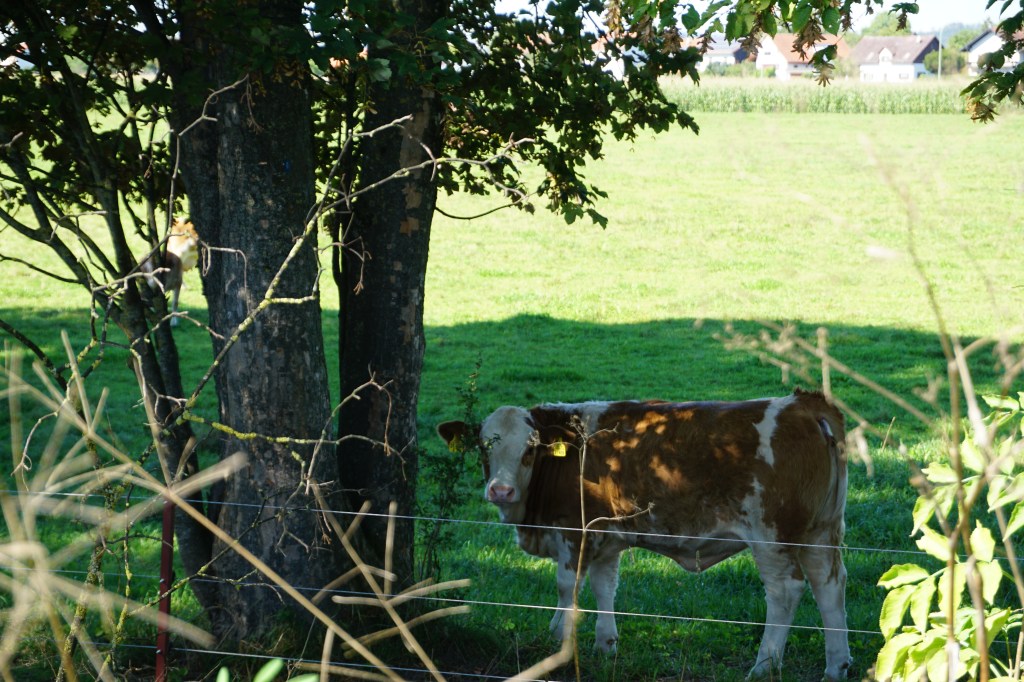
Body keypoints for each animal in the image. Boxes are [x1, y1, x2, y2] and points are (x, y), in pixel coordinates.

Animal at [437, 388, 851, 681]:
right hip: (821, 531)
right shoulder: (605, 536)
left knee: (785, 591)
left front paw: (560, 641)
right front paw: (605, 643)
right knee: (829, 587)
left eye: (530, 450)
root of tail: (804, 404)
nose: (500, 491)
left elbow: (567, 586)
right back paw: (836, 666)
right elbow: (604, 585)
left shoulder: (574, 531)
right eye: (483, 447)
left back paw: (763, 666)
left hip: (773, 537)